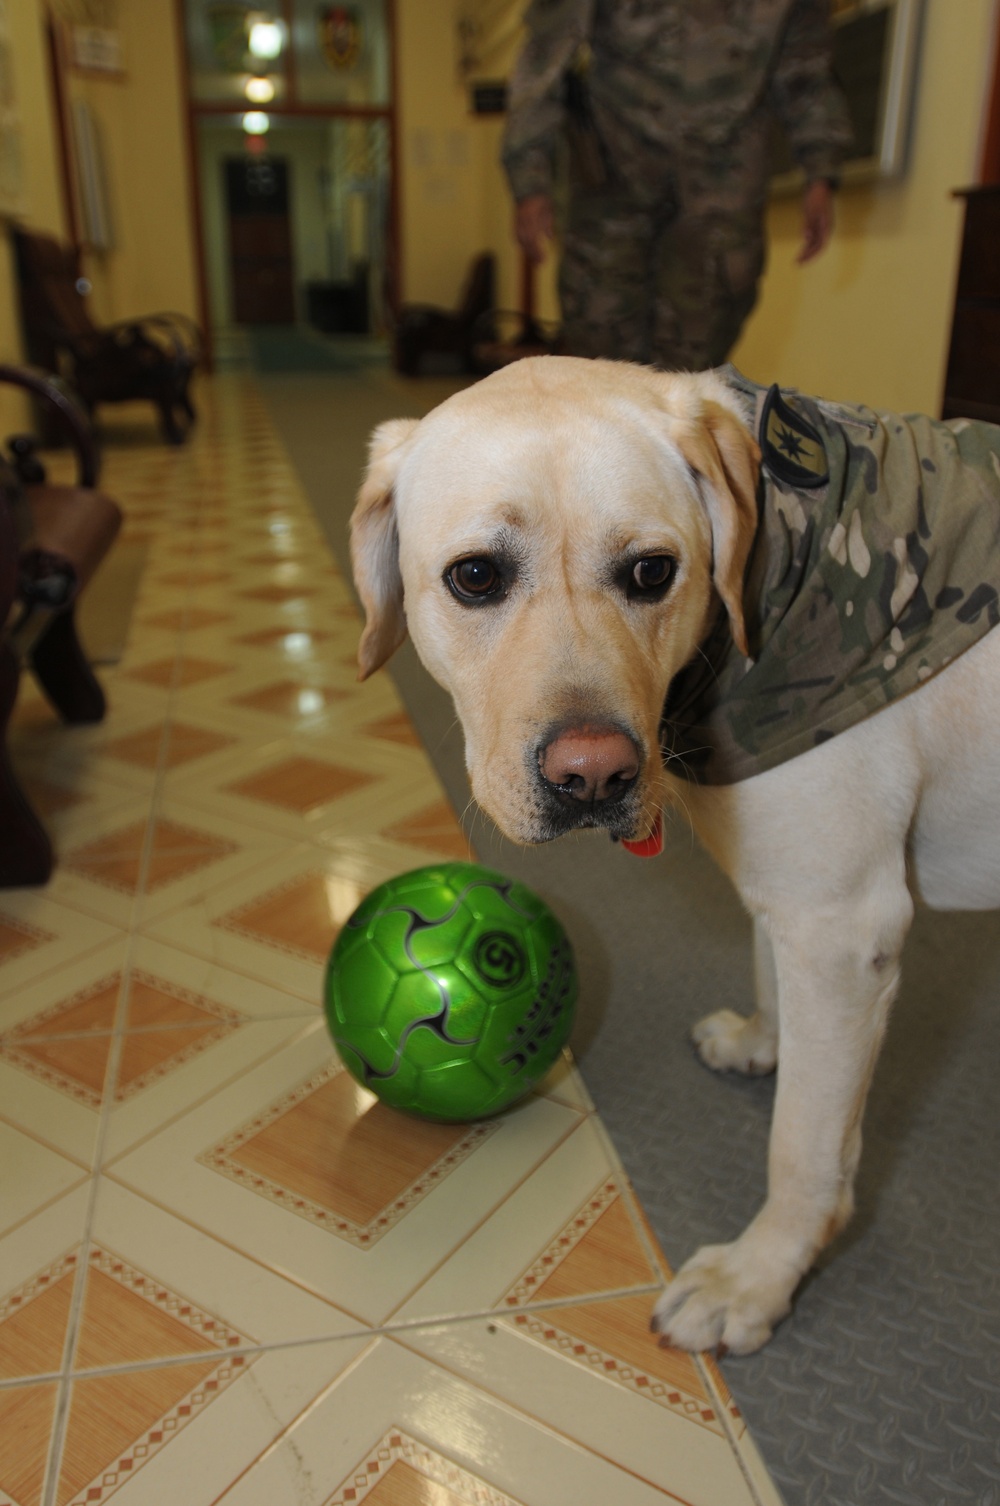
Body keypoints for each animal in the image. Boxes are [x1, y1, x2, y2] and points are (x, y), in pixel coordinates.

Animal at [349, 358, 1000, 1361]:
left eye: (653, 571)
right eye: (475, 576)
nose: (594, 775)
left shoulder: (846, 923)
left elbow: (804, 1145)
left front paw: (758, 1278)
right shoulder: (798, 903)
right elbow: (774, 980)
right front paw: (767, 1042)